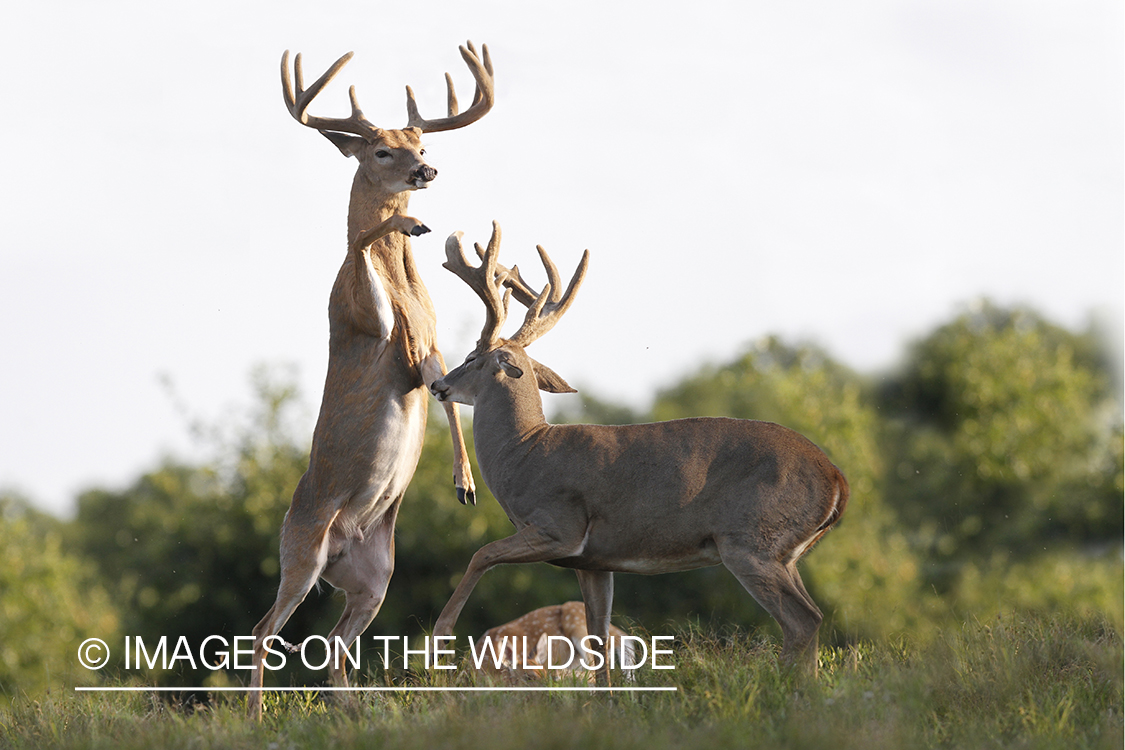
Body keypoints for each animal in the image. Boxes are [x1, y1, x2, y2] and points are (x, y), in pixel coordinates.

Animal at [250, 42, 497, 719]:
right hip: (301, 547)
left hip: (375, 575)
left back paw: (353, 710)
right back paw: (253, 714)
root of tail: (338, 544)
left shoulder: (431, 351)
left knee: (334, 642)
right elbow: (361, 242)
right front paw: (410, 227)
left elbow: (446, 394)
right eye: (381, 150)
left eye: (423, 143)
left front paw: (466, 484)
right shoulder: (371, 325)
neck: (409, 291)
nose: (426, 172)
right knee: (263, 630)